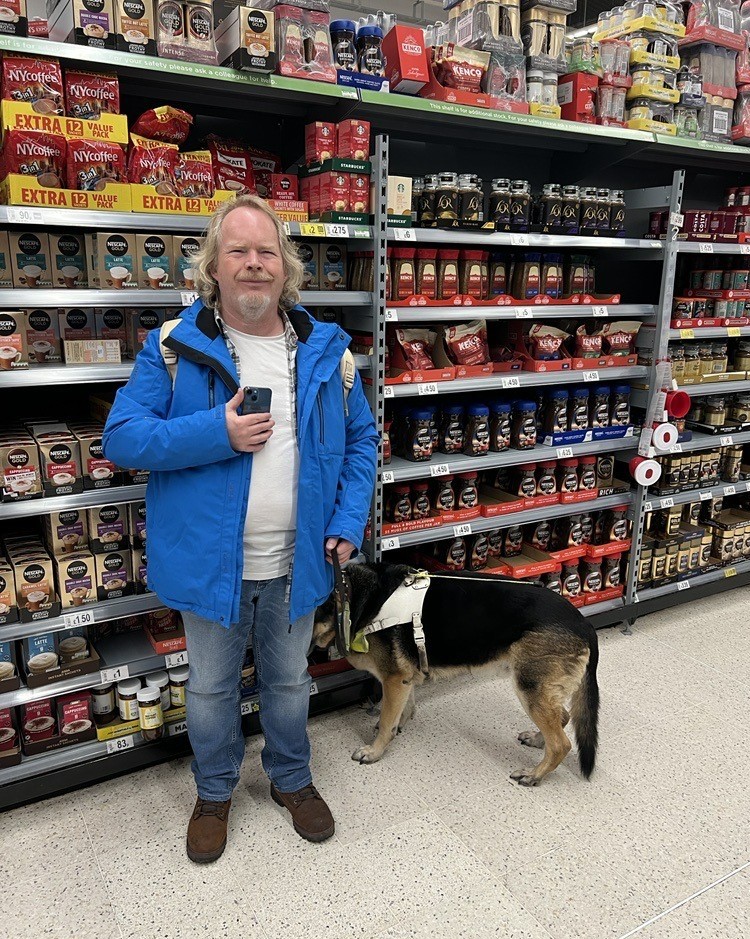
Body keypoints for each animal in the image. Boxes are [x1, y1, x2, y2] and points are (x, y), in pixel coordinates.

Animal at [314, 564, 604, 784]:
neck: (357, 598)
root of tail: (584, 623)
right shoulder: (405, 678)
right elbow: (405, 708)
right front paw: (400, 724)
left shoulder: (394, 680)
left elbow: (387, 720)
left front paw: (374, 750)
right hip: (539, 690)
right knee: (563, 717)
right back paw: (536, 740)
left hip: (529, 688)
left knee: (561, 744)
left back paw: (534, 774)